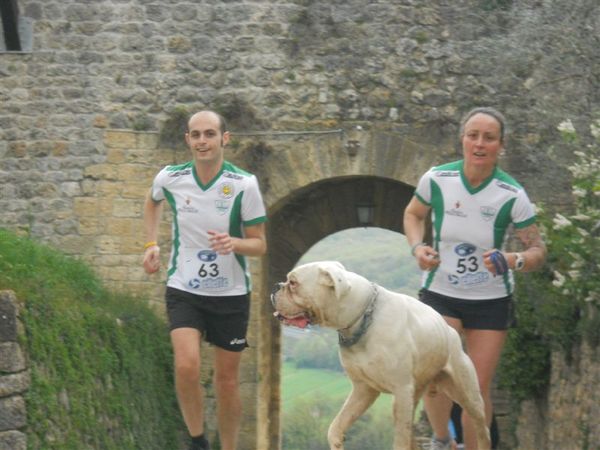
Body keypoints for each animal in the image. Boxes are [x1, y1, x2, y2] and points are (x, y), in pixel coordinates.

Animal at [272, 260, 492, 450]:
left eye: (293, 283)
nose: (276, 286)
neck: (363, 318)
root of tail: (451, 331)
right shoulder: (363, 391)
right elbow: (336, 427)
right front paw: (337, 442)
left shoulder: (400, 391)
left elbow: (400, 441)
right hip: (415, 395)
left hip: (468, 396)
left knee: (482, 429)